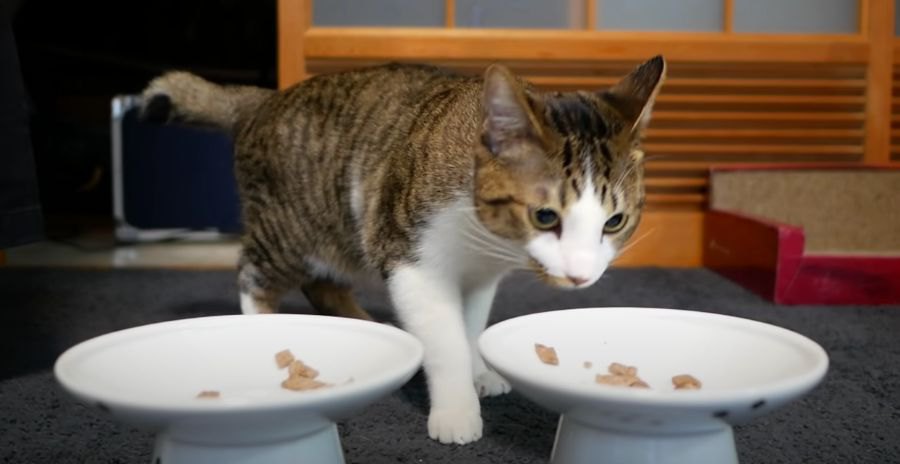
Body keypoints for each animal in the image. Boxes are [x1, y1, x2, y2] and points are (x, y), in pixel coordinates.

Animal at [139, 56, 660, 444]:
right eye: (545, 217)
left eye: (614, 221)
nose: (581, 275)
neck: (487, 238)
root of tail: (266, 98)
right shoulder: (412, 260)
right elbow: (447, 340)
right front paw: (456, 408)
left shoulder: (479, 275)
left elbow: (470, 325)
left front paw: (479, 371)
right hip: (290, 228)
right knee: (253, 272)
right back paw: (263, 322)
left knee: (324, 285)